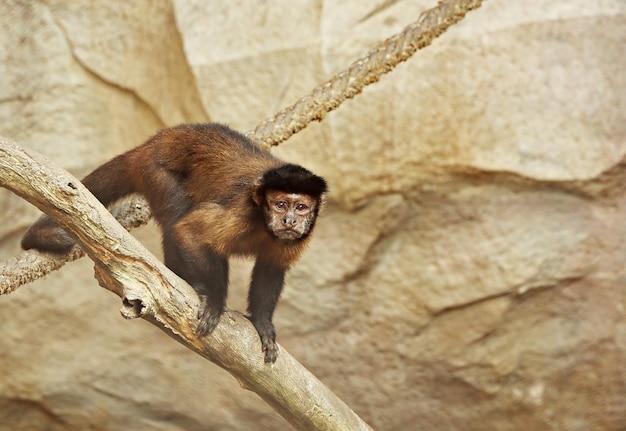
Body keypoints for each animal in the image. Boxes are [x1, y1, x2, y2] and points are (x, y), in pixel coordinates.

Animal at [23, 123, 326, 362]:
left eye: (301, 207)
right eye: (280, 204)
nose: (289, 220)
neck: (263, 221)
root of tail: (152, 143)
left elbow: (271, 268)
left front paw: (263, 324)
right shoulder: (241, 212)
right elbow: (188, 232)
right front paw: (214, 299)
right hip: (154, 171)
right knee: (175, 221)